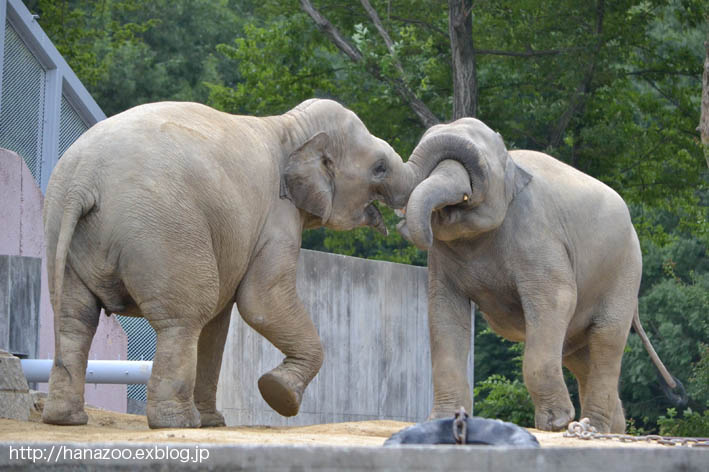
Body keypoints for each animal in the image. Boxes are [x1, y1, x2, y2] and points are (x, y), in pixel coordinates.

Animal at [41, 98, 418, 428]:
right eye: (380, 167)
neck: (291, 128)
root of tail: (84, 180)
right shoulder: (277, 218)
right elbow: (260, 301)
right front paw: (278, 394)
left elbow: (221, 321)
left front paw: (216, 422)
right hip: (162, 229)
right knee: (185, 317)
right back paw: (177, 423)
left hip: (64, 229)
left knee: (75, 319)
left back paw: (66, 419)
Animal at [398, 119, 680, 436]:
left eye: (481, 167)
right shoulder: (443, 257)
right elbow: (444, 310)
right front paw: (442, 421)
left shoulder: (536, 230)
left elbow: (557, 297)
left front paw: (555, 422)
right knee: (579, 355)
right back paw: (608, 431)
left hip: (625, 270)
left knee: (605, 338)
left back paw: (593, 427)